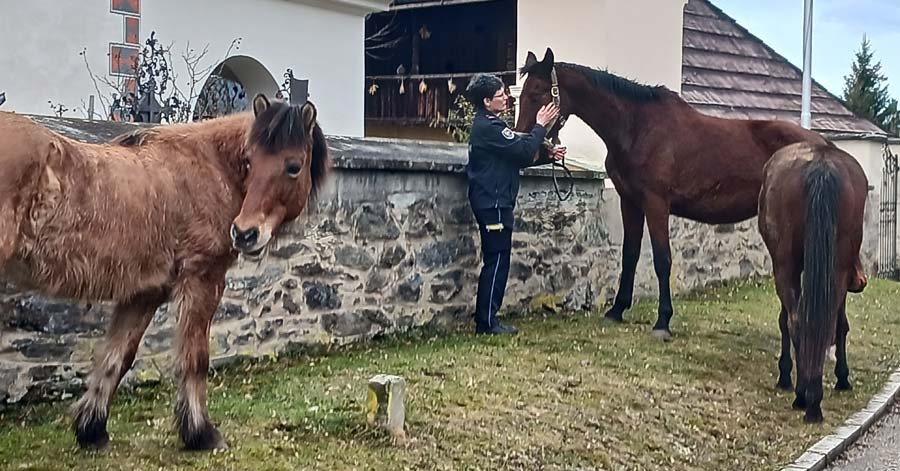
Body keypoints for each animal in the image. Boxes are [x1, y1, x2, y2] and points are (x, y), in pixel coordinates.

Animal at [0, 94, 328, 452]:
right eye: (249, 160)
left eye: (293, 166)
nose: (244, 233)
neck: (209, 166)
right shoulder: (203, 279)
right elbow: (194, 358)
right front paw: (201, 433)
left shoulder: (144, 293)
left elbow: (117, 357)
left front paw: (92, 429)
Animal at [516, 48, 832, 342]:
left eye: (537, 92)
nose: (525, 143)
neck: (637, 127)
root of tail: (823, 146)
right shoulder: (630, 202)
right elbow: (630, 254)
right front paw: (617, 310)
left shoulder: (656, 203)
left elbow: (662, 259)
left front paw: (663, 321)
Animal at [764, 143, 868, 424]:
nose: (860, 280)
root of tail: (821, 165)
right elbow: (841, 324)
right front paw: (843, 377)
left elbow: (785, 320)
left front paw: (785, 375)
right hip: (834, 269)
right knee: (823, 321)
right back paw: (812, 397)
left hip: (790, 266)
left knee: (799, 321)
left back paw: (805, 396)